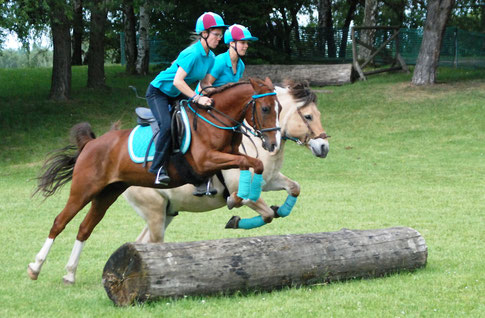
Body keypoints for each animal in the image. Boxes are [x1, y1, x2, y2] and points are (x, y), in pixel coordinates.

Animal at [28, 77, 282, 284]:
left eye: (279, 108)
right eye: (266, 108)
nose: (273, 144)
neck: (214, 120)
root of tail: (91, 143)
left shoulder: (229, 157)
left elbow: (252, 163)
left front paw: (242, 199)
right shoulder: (206, 161)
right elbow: (251, 164)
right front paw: (242, 199)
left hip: (107, 193)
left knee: (85, 228)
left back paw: (70, 274)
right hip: (84, 190)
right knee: (60, 222)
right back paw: (35, 267)